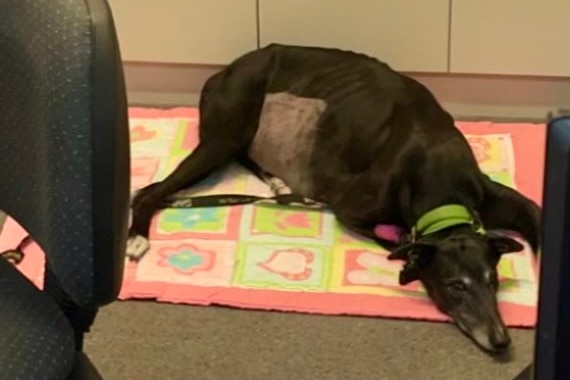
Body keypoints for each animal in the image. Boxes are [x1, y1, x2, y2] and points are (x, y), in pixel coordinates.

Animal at [126, 43, 540, 354]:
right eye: (456, 286)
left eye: (493, 280)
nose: (501, 341)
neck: (441, 186)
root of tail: (225, 69)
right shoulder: (350, 207)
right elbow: (392, 238)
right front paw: (407, 258)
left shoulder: (492, 196)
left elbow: (536, 214)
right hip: (225, 130)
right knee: (147, 190)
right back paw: (136, 237)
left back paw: (277, 182)